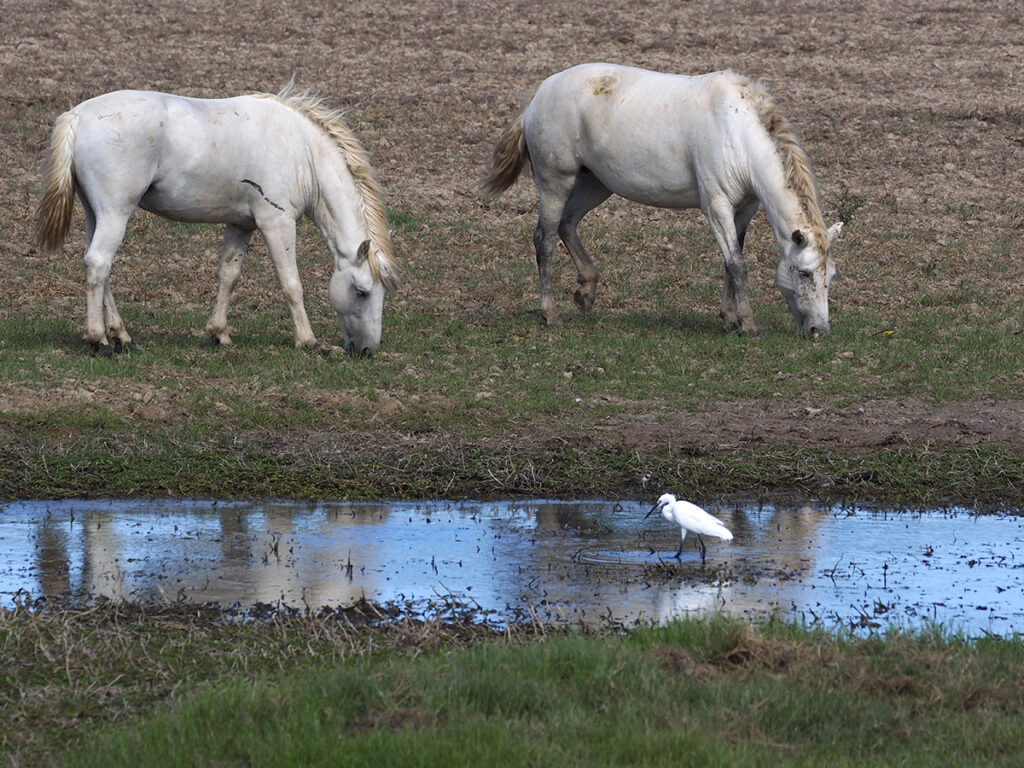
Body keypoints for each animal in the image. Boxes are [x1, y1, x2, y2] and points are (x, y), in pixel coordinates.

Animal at [35, 84, 398, 356]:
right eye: (362, 291)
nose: (367, 350)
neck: (301, 151)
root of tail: (78, 115)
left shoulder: (241, 225)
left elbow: (229, 276)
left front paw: (218, 333)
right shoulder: (276, 223)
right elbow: (291, 283)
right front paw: (308, 340)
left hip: (95, 215)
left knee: (98, 267)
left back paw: (121, 335)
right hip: (115, 213)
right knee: (99, 262)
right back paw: (98, 339)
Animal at [482, 63, 842, 336]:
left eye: (831, 276)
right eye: (804, 273)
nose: (819, 331)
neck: (737, 132)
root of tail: (540, 95)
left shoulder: (745, 209)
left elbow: (731, 261)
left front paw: (729, 316)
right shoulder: (716, 205)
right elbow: (737, 264)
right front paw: (747, 323)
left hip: (595, 185)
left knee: (567, 225)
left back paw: (586, 292)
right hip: (555, 183)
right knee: (544, 239)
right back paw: (550, 312)